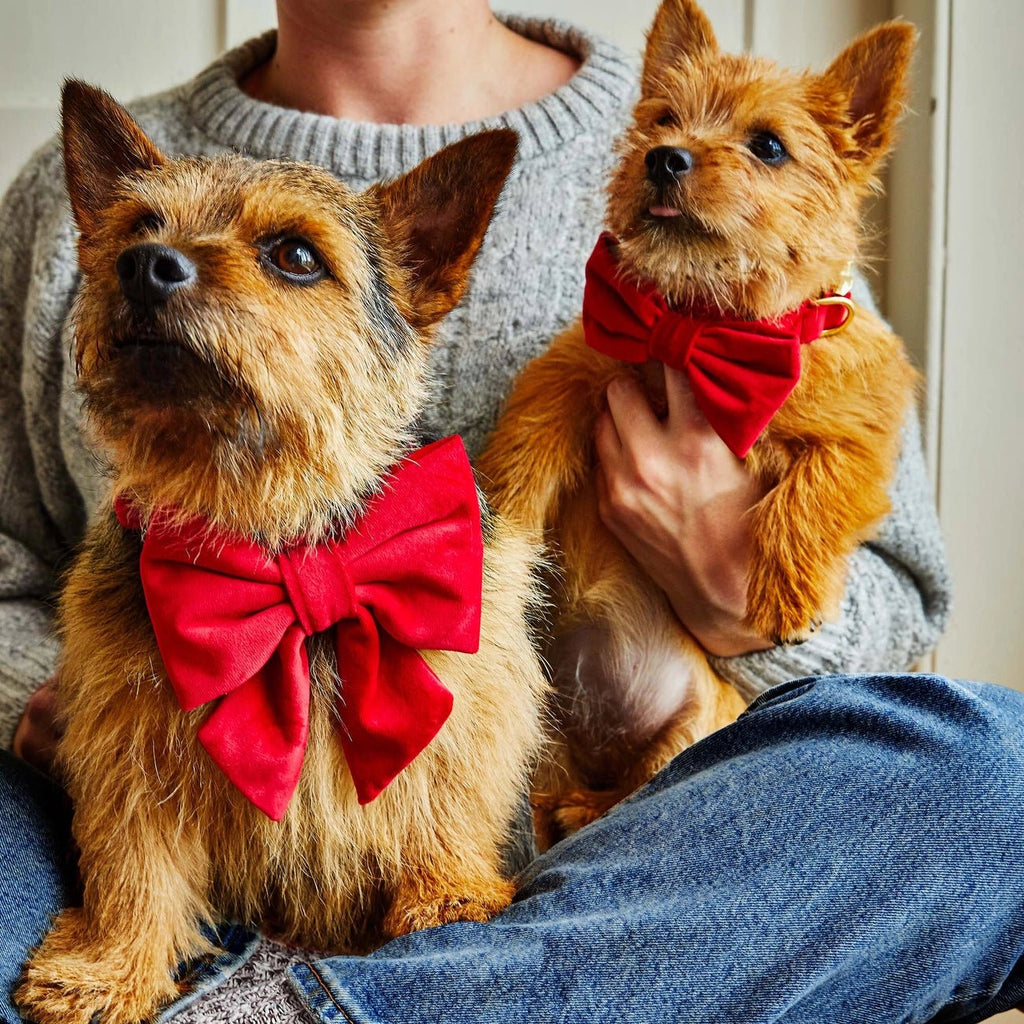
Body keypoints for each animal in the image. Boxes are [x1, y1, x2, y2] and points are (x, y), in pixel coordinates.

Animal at [16, 81, 548, 1024]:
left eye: (296, 256)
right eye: (138, 225)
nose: (145, 264)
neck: (270, 527)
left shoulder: (466, 684)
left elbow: (443, 797)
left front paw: (447, 898)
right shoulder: (130, 739)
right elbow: (131, 862)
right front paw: (108, 968)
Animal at [479, 0, 921, 843]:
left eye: (769, 146)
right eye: (662, 119)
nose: (665, 159)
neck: (703, 322)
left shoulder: (858, 438)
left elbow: (817, 486)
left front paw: (789, 592)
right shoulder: (579, 367)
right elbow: (525, 445)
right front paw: (503, 534)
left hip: (687, 727)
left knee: (639, 789)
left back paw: (592, 806)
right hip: (542, 730)